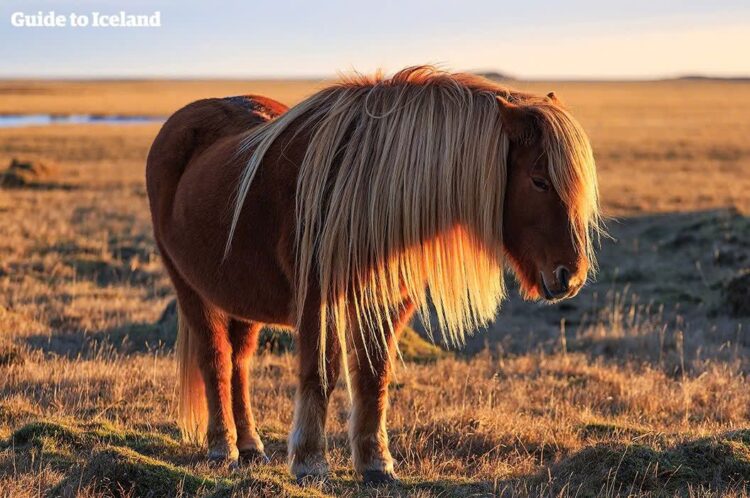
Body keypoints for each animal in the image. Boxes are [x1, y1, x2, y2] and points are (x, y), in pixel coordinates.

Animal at [145, 66, 601, 484]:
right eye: (539, 181)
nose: (571, 276)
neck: (365, 191)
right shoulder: (317, 300)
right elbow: (321, 374)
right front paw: (310, 462)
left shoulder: (386, 301)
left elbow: (374, 376)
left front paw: (376, 463)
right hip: (190, 288)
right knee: (215, 361)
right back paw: (222, 447)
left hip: (241, 296)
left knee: (239, 363)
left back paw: (251, 446)